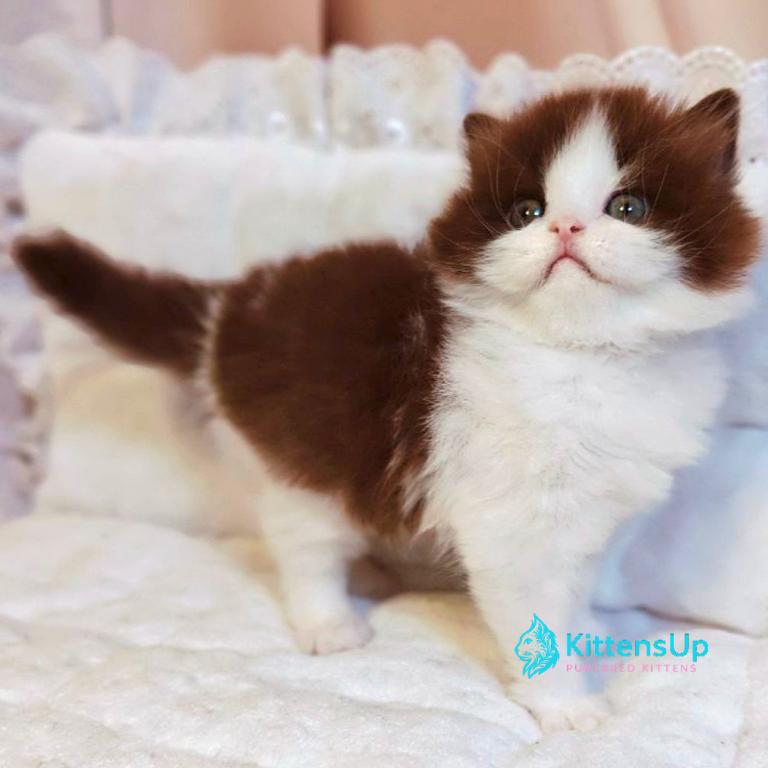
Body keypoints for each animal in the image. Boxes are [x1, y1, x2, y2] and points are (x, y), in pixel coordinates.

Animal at [13, 86, 760, 733]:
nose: (566, 226)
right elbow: (533, 612)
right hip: (306, 459)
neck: (583, 358)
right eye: (526, 211)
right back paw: (329, 622)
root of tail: (231, 309)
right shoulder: (509, 523)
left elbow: (575, 588)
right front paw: (565, 704)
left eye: (629, 207)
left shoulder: (598, 510)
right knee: (305, 547)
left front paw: (587, 634)